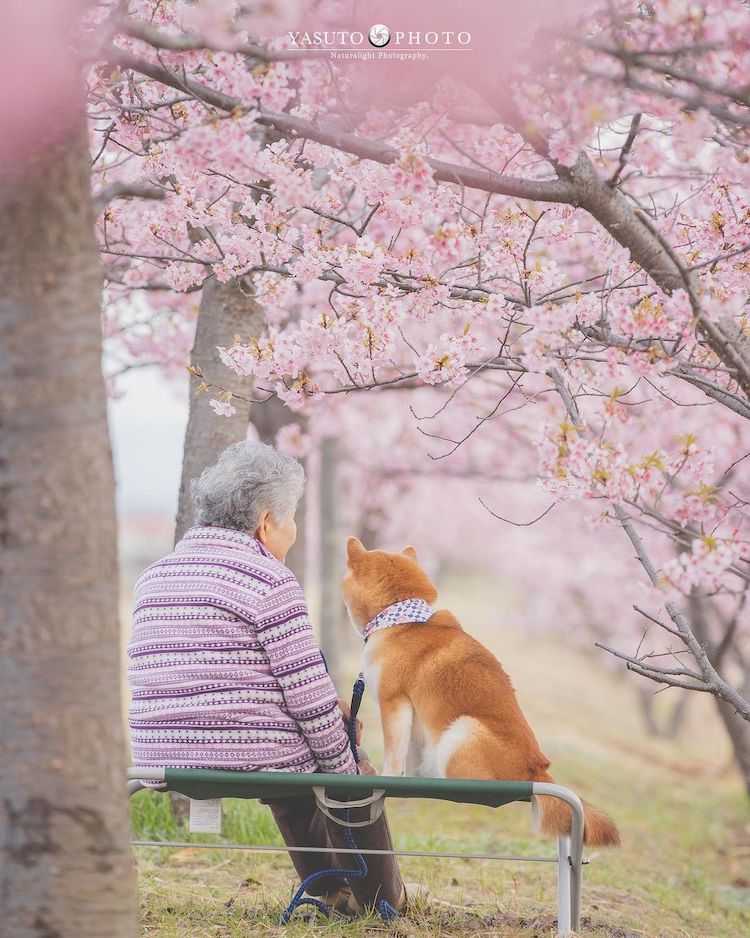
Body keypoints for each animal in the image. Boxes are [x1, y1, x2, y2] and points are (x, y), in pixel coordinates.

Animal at [344, 532, 620, 848]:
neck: (400, 620)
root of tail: (537, 772)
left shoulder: (393, 702)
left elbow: (393, 753)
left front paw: (387, 780)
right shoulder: (414, 716)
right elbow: (410, 755)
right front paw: (409, 781)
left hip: (463, 730)